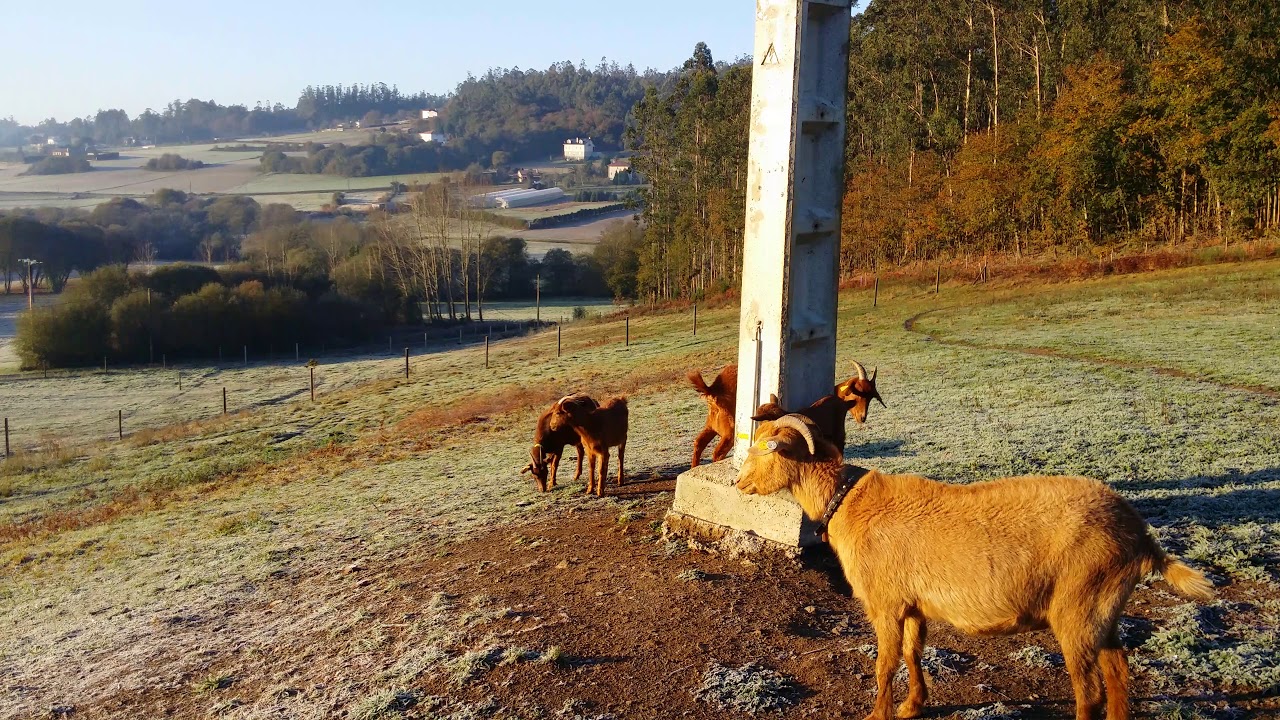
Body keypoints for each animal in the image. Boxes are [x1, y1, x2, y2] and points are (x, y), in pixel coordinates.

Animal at [736, 415, 1214, 720]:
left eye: (765, 450)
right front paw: (912, 706)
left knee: (1089, 690)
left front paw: (878, 715)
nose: (739, 482)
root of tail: (1140, 535)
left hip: (1078, 605)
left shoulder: (886, 602)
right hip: (1103, 607)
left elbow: (885, 662)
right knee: (1117, 669)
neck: (850, 502)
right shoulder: (914, 604)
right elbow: (912, 653)